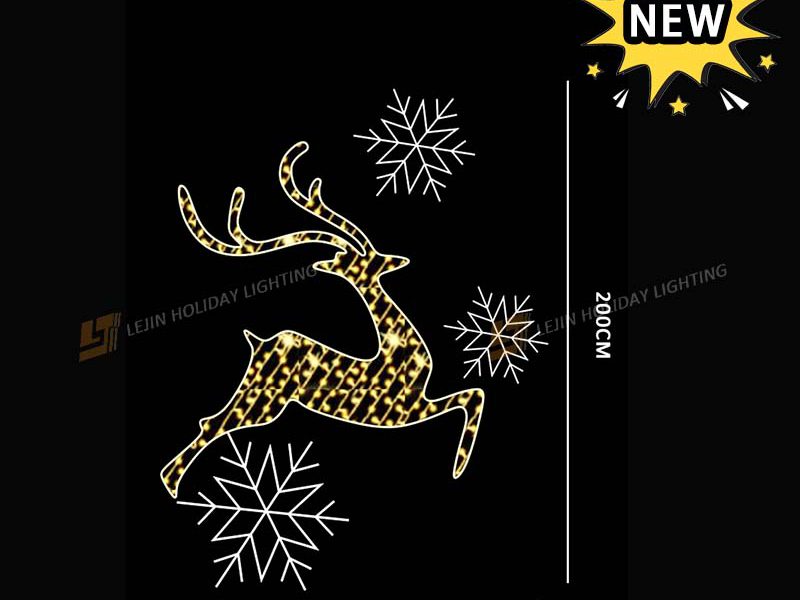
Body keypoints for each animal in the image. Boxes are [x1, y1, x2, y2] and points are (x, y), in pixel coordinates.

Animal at [161, 141, 485, 499]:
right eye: (364, 262)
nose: (396, 259)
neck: (394, 349)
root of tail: (259, 343)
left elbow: (473, 394)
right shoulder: (406, 406)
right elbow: (473, 396)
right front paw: (459, 467)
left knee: (209, 421)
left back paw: (171, 483)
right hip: (263, 400)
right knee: (214, 423)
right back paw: (172, 484)